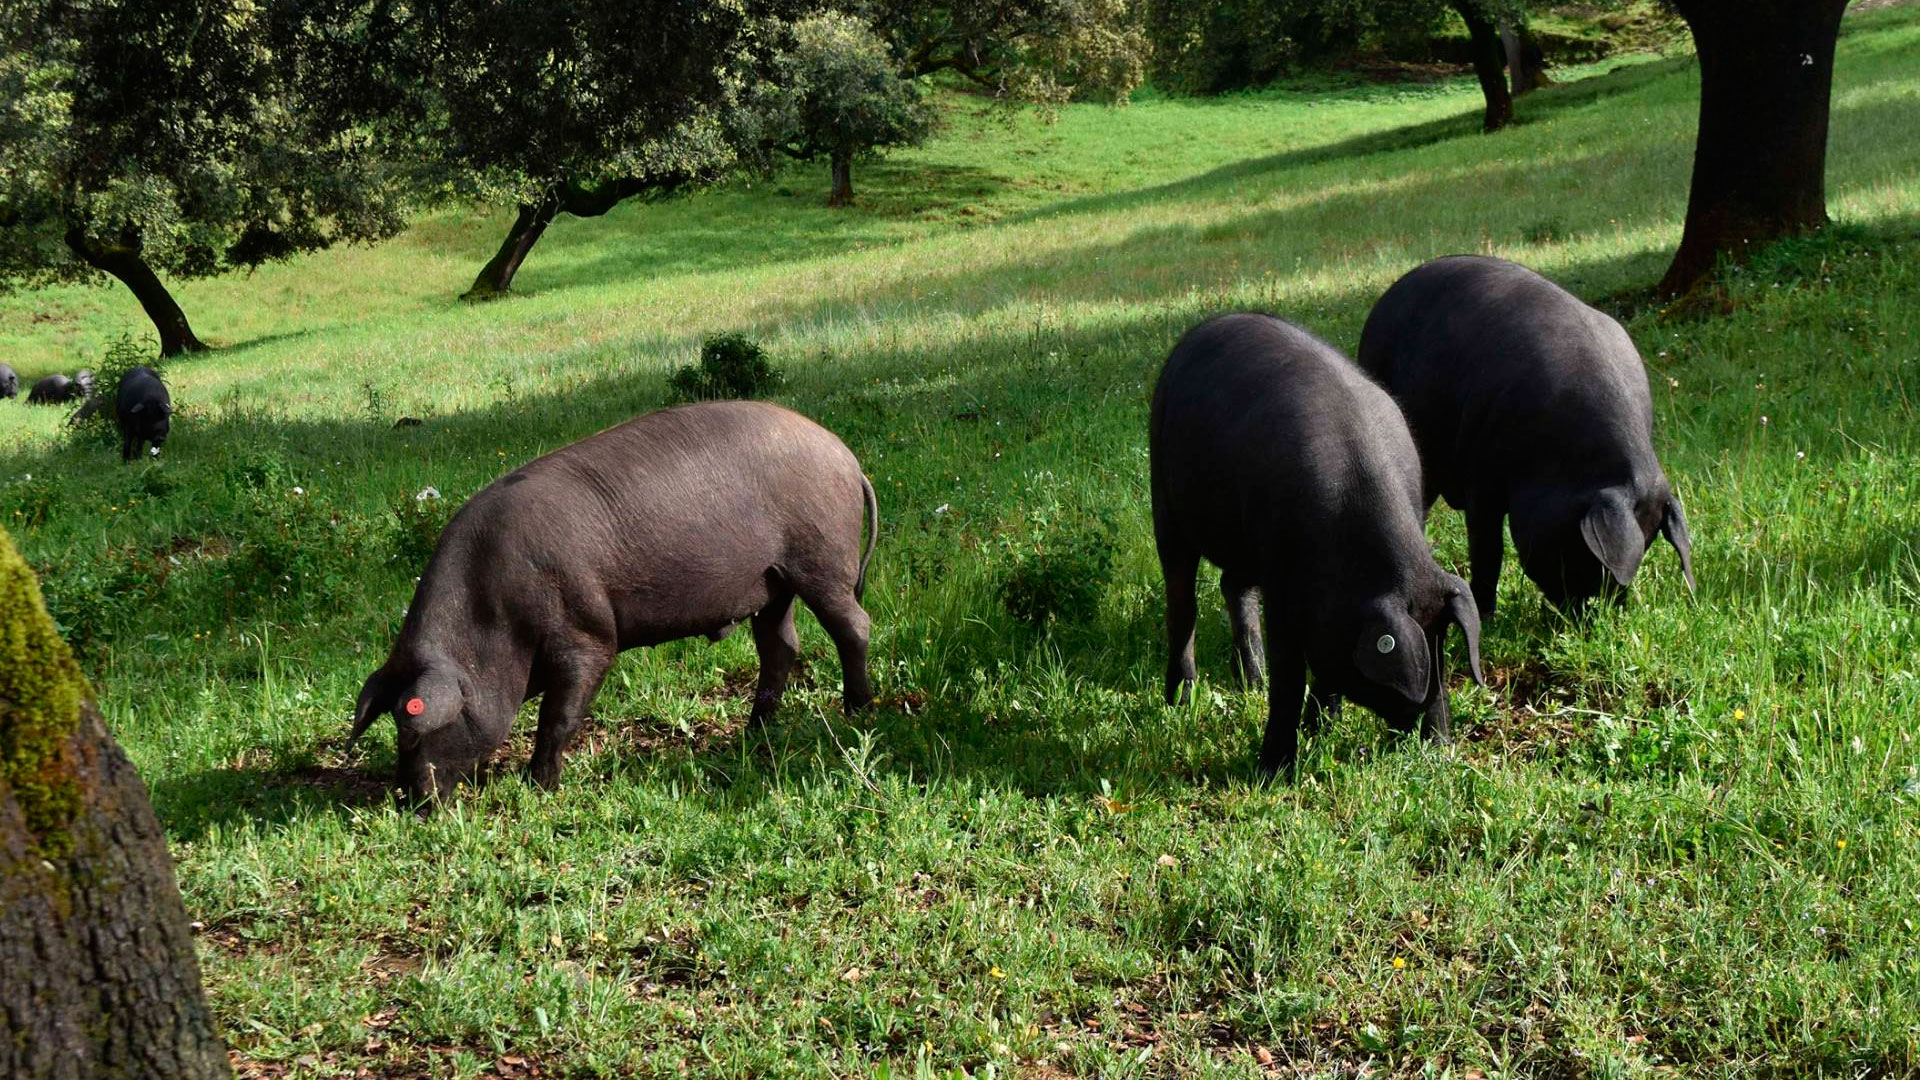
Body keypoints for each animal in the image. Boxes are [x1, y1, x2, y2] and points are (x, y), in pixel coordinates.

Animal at [347, 401, 879, 799]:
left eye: (413, 726)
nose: (409, 801)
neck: (493, 620)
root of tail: (847, 457)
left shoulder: (588, 633)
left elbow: (558, 715)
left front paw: (539, 786)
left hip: (822, 555)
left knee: (853, 625)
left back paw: (856, 712)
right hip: (772, 581)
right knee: (780, 644)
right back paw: (755, 732)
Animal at [1152, 311, 1482, 772]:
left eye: (1443, 645)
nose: (1440, 742)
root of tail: (1202, 330)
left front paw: (1321, 728)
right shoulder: (1281, 582)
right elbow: (1290, 676)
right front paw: (1271, 771)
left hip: (1242, 540)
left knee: (1233, 587)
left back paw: (1251, 683)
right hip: (1165, 496)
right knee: (1183, 603)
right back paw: (1180, 701)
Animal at [1351, 247, 1697, 611]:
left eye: (1649, 543)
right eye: (1583, 548)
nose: (1596, 612)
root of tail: (1388, 295)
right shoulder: (1481, 473)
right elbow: (1488, 550)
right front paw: (1486, 613)